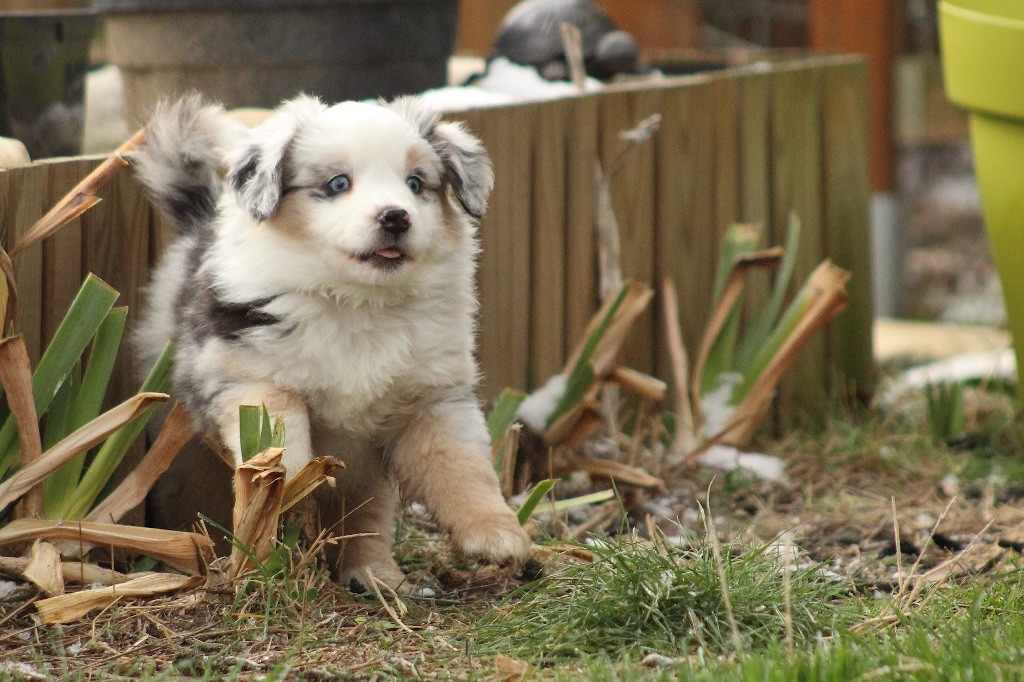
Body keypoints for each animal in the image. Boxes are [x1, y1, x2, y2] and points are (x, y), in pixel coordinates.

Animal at [132, 94, 531, 590]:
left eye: (416, 184)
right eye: (338, 183)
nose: (395, 216)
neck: (357, 303)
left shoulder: (435, 399)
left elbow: (463, 468)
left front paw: (497, 536)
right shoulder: (244, 374)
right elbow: (284, 431)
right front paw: (291, 485)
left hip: (365, 478)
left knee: (366, 521)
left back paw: (376, 576)